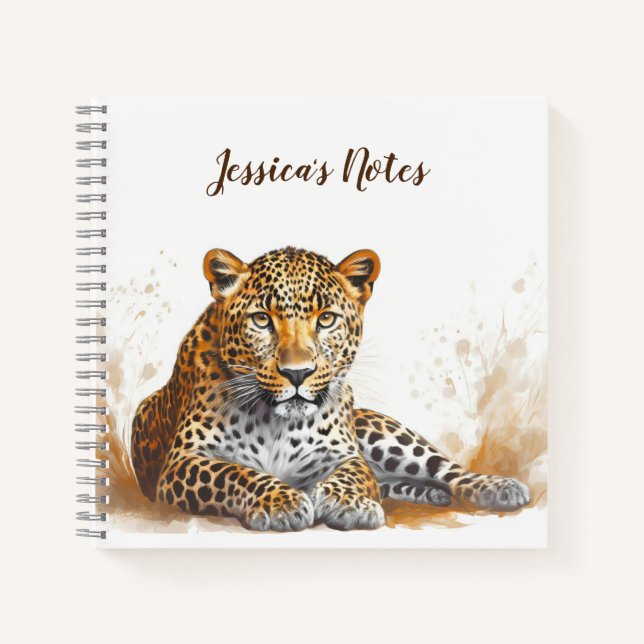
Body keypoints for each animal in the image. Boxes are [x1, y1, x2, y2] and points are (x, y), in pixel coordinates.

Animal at [131, 246, 530, 531]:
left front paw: (347, 504)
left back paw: (500, 488)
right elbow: (234, 474)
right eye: (261, 319)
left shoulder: (344, 455)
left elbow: (353, 474)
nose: (297, 374)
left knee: (444, 468)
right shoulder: (183, 461)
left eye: (326, 319)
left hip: (382, 433)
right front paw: (283, 503)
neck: (274, 422)